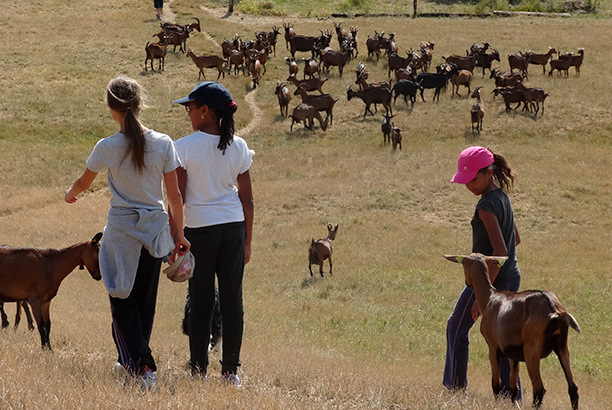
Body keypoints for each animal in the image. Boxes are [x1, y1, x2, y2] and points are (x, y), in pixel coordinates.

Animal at [444, 253, 580, 410]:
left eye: (464, 263)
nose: (468, 283)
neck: (490, 298)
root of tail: (554, 312)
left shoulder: (493, 347)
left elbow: (496, 383)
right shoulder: (513, 354)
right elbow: (513, 388)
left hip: (532, 350)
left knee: (539, 388)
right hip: (562, 347)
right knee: (573, 388)